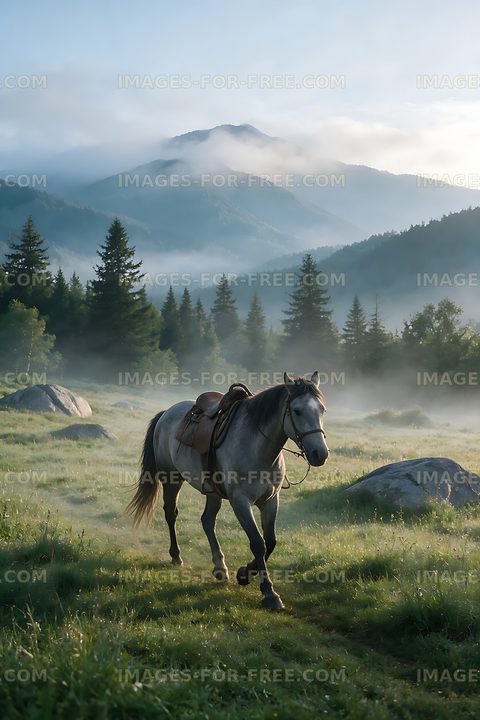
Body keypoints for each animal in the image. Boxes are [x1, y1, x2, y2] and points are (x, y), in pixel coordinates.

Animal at [126, 371, 329, 610]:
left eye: (322, 409)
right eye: (297, 410)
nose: (320, 453)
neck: (257, 447)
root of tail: (166, 412)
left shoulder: (270, 500)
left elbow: (270, 541)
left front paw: (245, 573)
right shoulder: (240, 501)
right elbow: (258, 543)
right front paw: (268, 592)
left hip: (212, 493)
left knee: (207, 521)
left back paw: (220, 567)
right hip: (171, 479)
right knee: (171, 514)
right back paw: (176, 556)